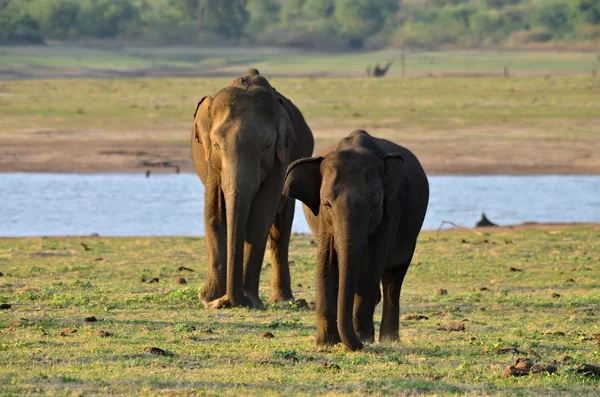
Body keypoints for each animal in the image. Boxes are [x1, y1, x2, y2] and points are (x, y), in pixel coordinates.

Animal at [192, 69, 314, 308]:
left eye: (266, 147)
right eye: (217, 145)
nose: (228, 301)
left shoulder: (281, 158)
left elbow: (260, 217)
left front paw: (250, 299)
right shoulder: (211, 163)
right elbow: (214, 213)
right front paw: (208, 299)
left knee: (280, 230)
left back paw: (284, 300)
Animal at [284, 130, 428, 350]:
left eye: (375, 203)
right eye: (327, 204)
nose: (358, 344)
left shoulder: (389, 212)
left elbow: (371, 265)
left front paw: (364, 339)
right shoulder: (324, 221)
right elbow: (326, 262)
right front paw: (326, 343)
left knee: (394, 277)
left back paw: (389, 339)